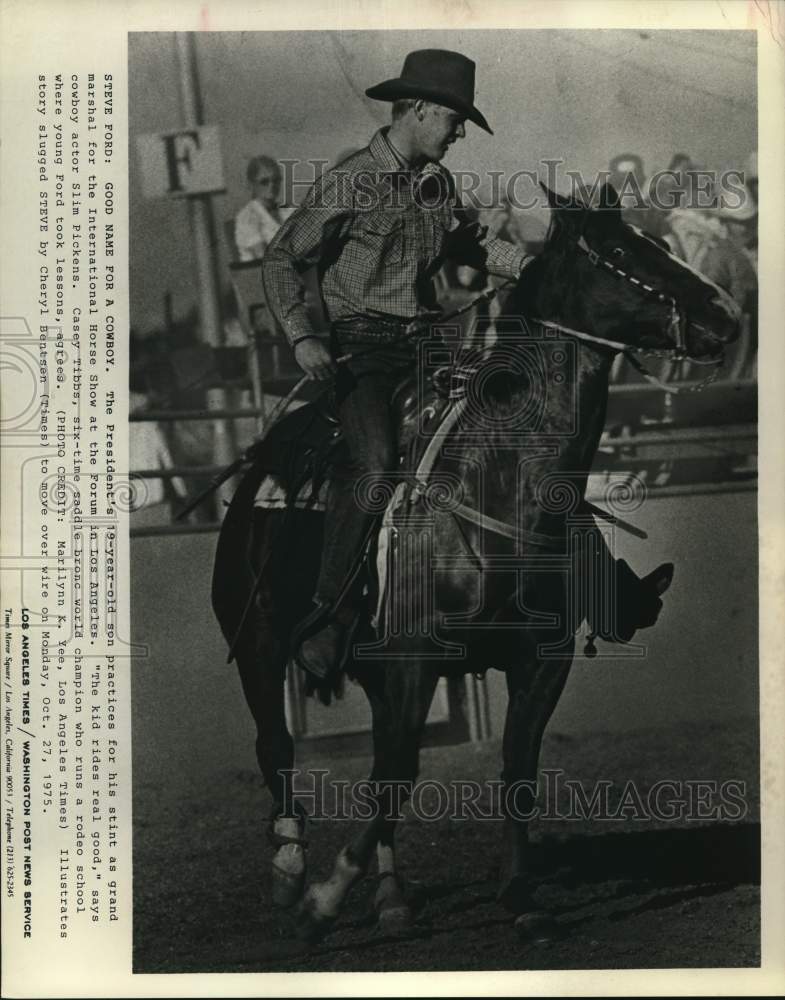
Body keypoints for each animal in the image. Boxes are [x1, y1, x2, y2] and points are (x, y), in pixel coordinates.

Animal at [211, 184, 740, 940]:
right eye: (618, 250)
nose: (724, 314)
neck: (499, 478)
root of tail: (262, 459)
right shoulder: (414, 655)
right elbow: (397, 772)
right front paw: (324, 897)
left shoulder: (538, 660)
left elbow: (512, 768)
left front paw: (519, 896)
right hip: (257, 638)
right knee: (277, 747)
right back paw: (289, 871)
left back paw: (392, 896)